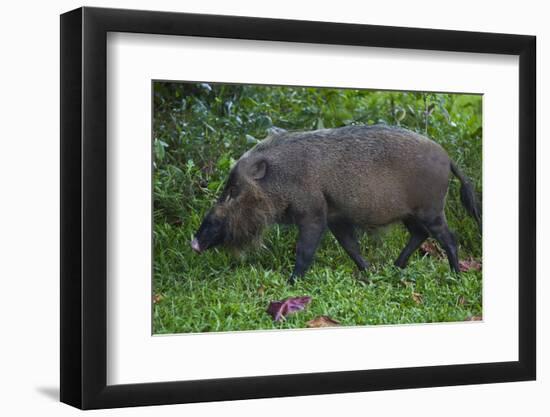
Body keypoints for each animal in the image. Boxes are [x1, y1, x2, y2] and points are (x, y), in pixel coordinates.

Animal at [191, 123, 484, 284]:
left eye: (233, 191)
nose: (193, 242)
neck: (283, 176)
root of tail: (448, 158)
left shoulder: (313, 214)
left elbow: (305, 251)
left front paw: (291, 283)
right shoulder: (336, 218)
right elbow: (351, 247)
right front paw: (368, 274)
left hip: (431, 209)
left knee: (449, 238)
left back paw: (456, 276)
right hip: (412, 214)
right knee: (420, 234)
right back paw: (395, 268)